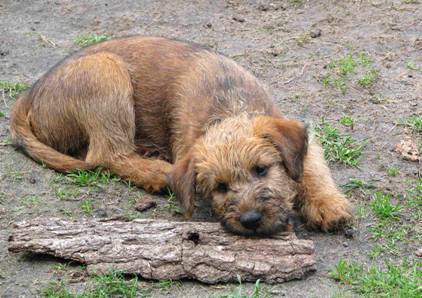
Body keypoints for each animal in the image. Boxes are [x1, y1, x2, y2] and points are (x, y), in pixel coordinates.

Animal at [10, 35, 352, 235]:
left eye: (262, 170)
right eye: (220, 187)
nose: (251, 220)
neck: (228, 107)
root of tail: (30, 96)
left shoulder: (294, 132)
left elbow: (310, 168)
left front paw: (327, 205)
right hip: (106, 71)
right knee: (106, 154)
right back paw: (157, 173)